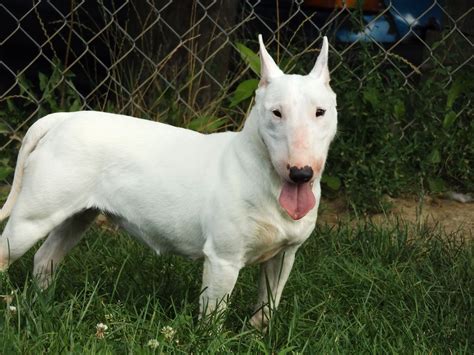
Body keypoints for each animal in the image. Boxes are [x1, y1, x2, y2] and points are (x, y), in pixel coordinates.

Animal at [1, 35, 338, 328]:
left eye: (320, 112)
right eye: (276, 113)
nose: (300, 173)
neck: (265, 175)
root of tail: (61, 119)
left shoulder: (284, 256)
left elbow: (267, 306)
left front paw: (258, 336)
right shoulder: (223, 259)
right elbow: (213, 315)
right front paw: (209, 340)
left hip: (78, 215)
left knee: (46, 257)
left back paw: (42, 305)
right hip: (32, 218)